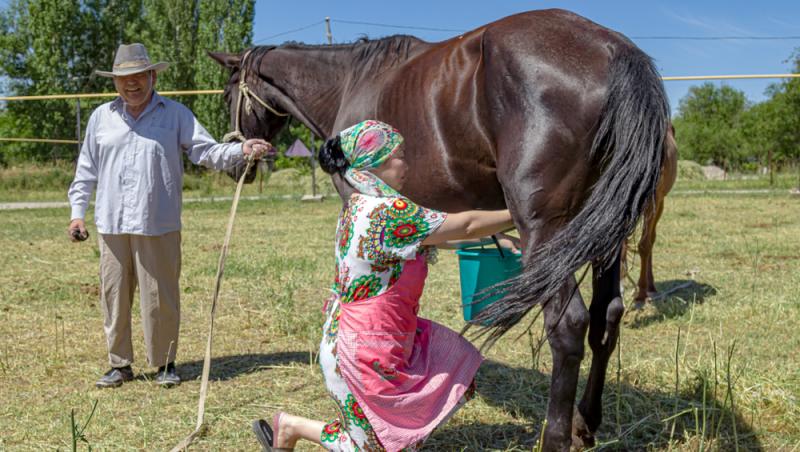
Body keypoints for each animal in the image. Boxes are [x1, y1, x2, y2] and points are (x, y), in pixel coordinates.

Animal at [211, 8, 668, 450]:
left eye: (228, 94)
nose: (236, 163)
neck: (347, 83)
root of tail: (612, 49)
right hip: (604, 235)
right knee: (606, 316)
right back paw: (585, 424)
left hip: (547, 234)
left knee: (568, 325)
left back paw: (556, 437)